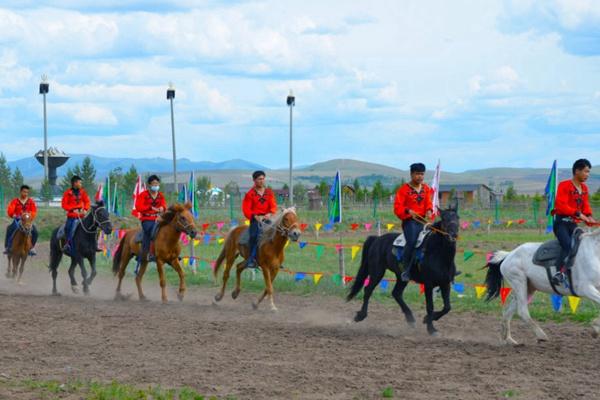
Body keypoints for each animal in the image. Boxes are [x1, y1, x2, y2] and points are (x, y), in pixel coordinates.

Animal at [346, 208, 460, 336]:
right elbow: (430, 306)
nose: (453, 234)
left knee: (396, 293)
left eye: (457, 217)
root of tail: (377, 239)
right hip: (377, 272)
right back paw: (361, 315)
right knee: (368, 290)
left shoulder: (445, 283)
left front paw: (427, 320)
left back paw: (410, 319)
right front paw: (431, 329)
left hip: (401, 277)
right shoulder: (428, 284)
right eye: (444, 218)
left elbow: (447, 307)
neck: (437, 253)